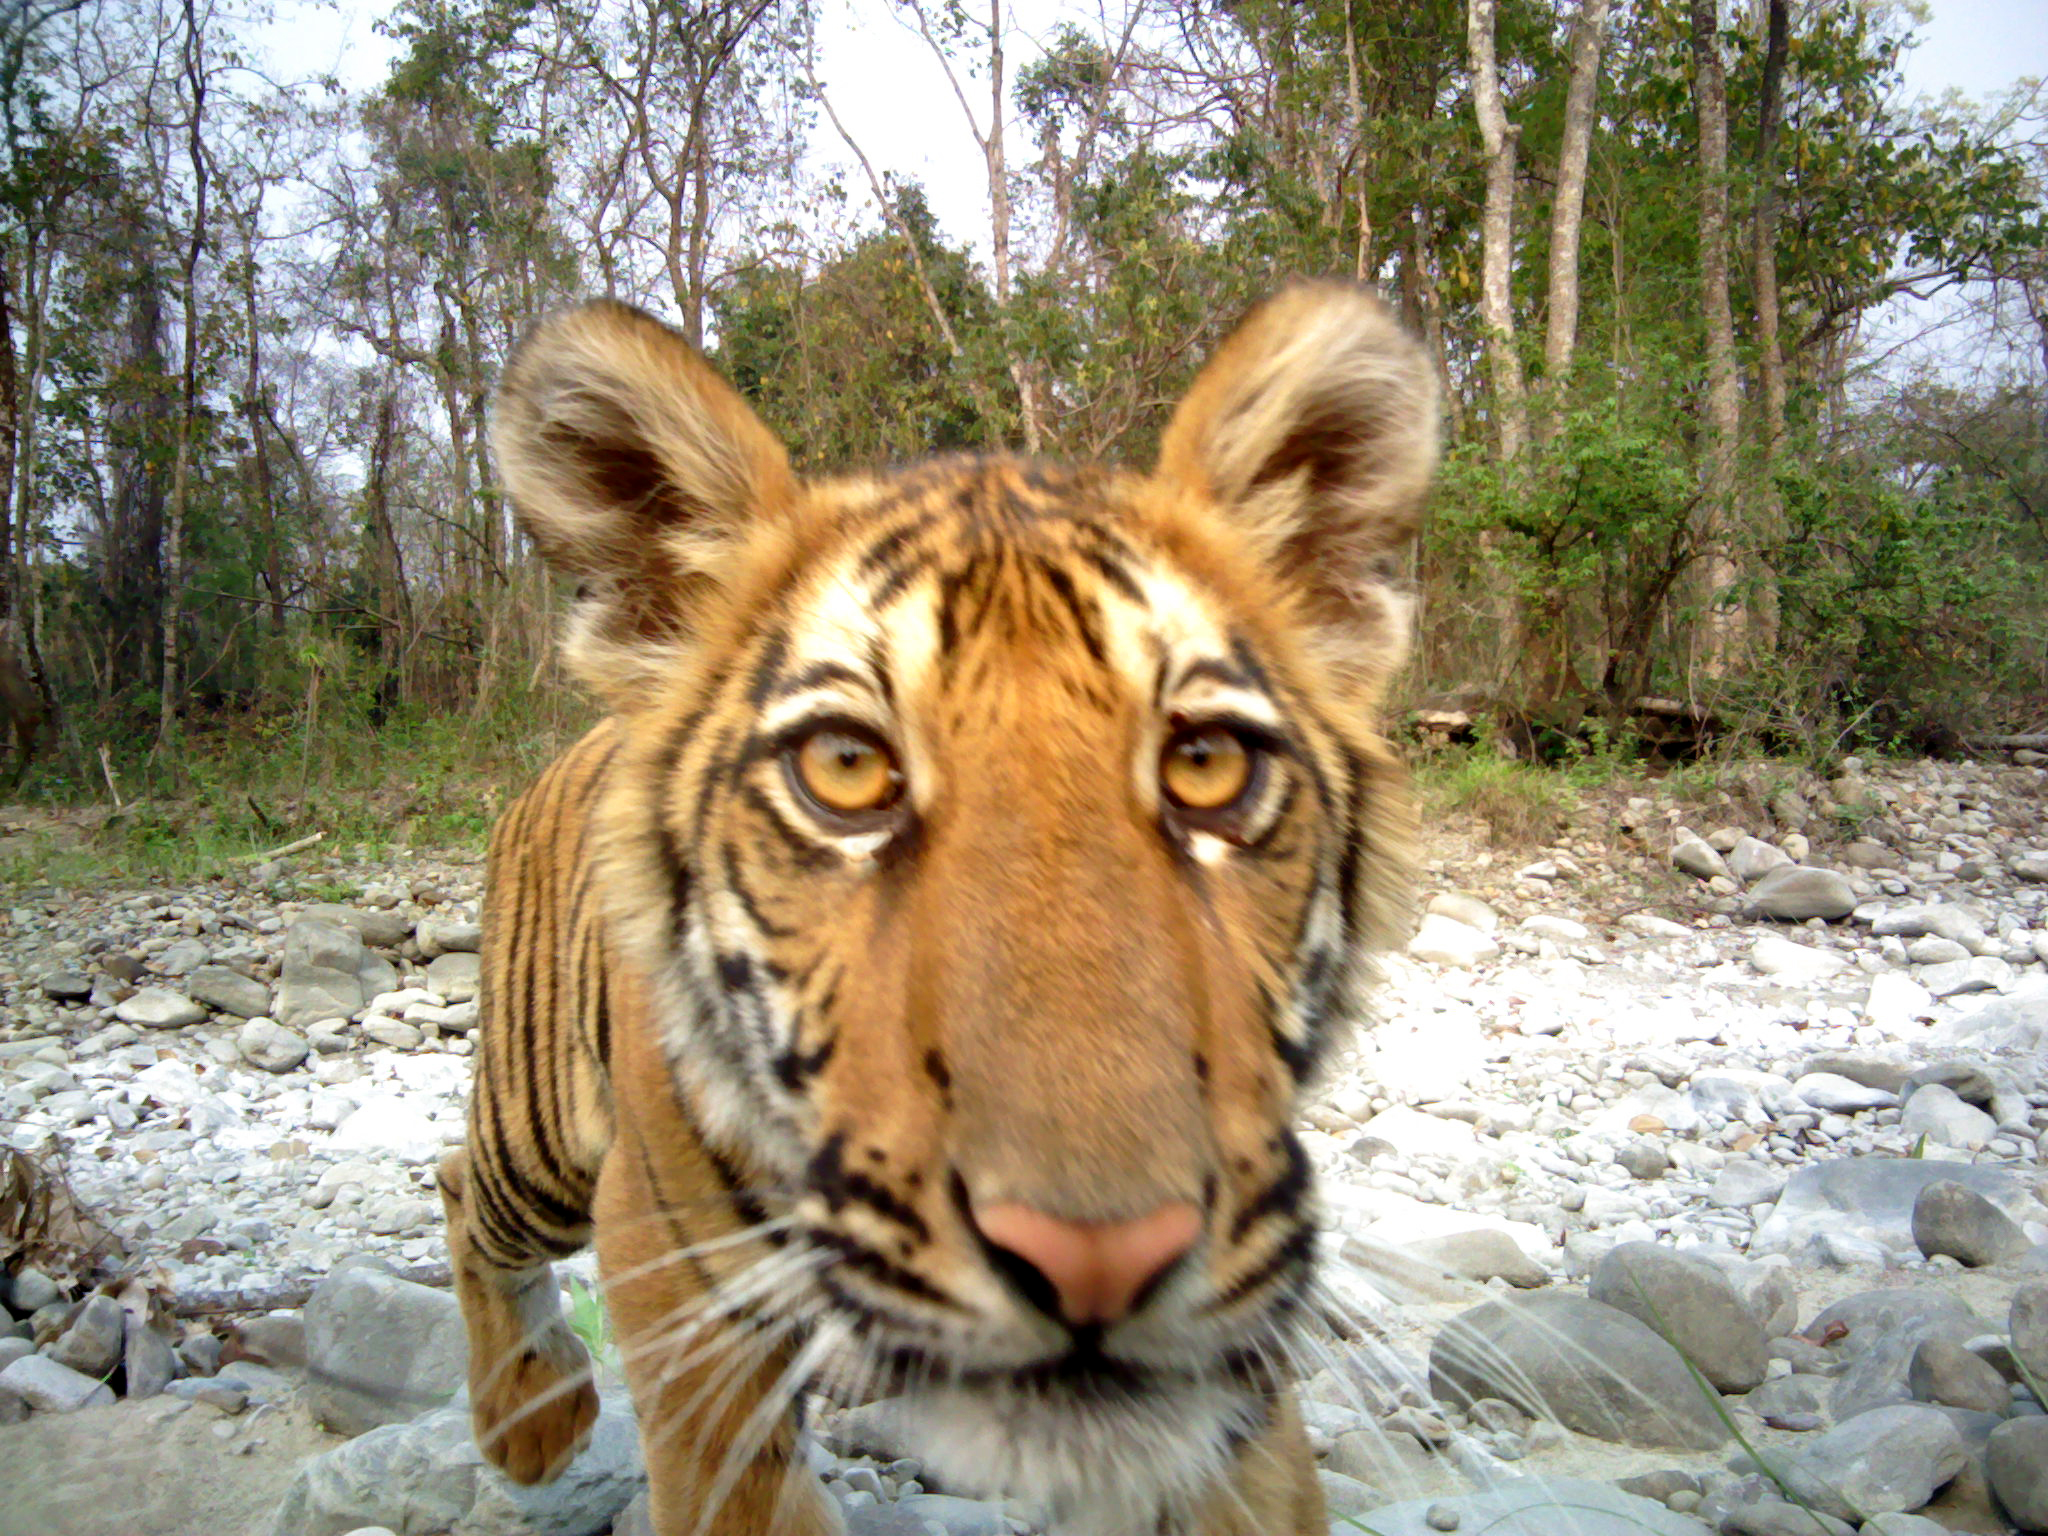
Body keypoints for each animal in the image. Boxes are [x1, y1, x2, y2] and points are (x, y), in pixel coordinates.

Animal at [436, 281, 1439, 1536]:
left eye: (1204, 764)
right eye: (845, 769)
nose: (1099, 1259)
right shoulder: (684, 1295)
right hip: (542, 1141)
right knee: (459, 1186)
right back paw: (528, 1415)